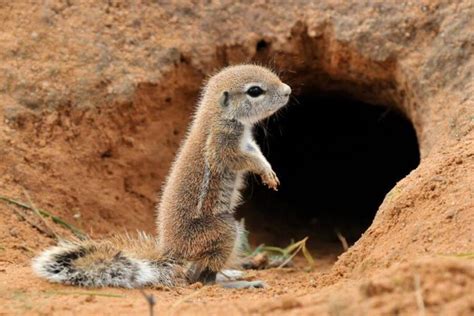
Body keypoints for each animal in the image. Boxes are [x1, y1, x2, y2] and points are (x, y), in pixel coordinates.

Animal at [32, 64, 288, 288]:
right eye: (255, 91)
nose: (287, 91)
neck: (218, 115)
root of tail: (172, 253)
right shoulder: (221, 145)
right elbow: (241, 159)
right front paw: (262, 168)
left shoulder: (248, 141)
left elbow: (255, 151)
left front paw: (269, 171)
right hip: (224, 230)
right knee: (200, 279)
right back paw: (237, 283)